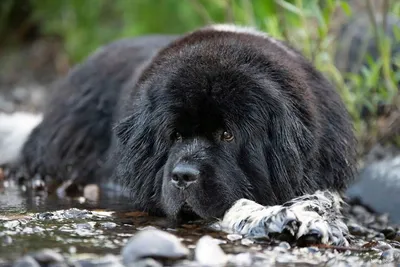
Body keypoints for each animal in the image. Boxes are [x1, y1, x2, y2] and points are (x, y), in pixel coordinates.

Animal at [0, 25, 356, 247]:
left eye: (227, 134)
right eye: (174, 136)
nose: (183, 176)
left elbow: (318, 198)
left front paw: (308, 218)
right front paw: (277, 219)